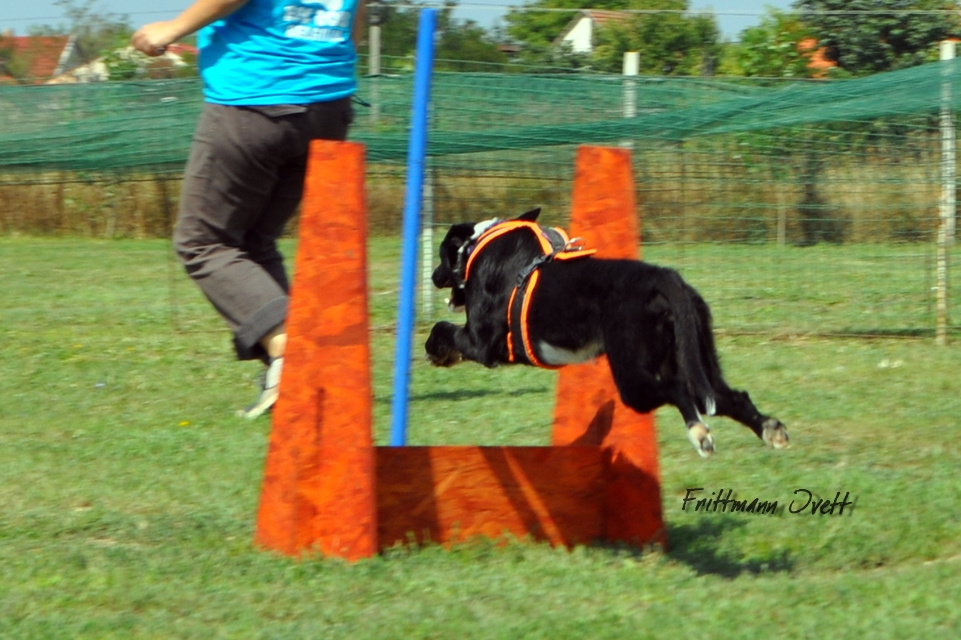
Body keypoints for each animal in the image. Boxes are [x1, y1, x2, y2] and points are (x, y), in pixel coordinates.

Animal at [426, 209, 788, 456]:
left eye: (443, 253)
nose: (432, 275)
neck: (477, 247)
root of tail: (665, 278)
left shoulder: (480, 341)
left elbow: (441, 329)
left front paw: (436, 352)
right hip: (694, 362)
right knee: (729, 397)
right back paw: (770, 430)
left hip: (634, 380)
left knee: (676, 391)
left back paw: (699, 433)